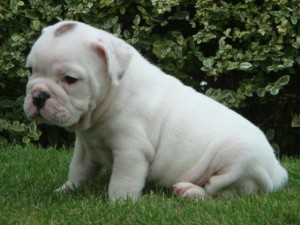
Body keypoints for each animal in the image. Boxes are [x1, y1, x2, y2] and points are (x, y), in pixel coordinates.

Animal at [22, 21, 286, 200]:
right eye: (30, 70)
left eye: (70, 79)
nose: (39, 96)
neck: (110, 96)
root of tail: (277, 172)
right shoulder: (86, 147)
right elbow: (77, 171)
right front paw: (66, 190)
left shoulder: (131, 150)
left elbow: (123, 180)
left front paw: (120, 204)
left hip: (238, 161)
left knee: (220, 191)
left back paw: (189, 190)